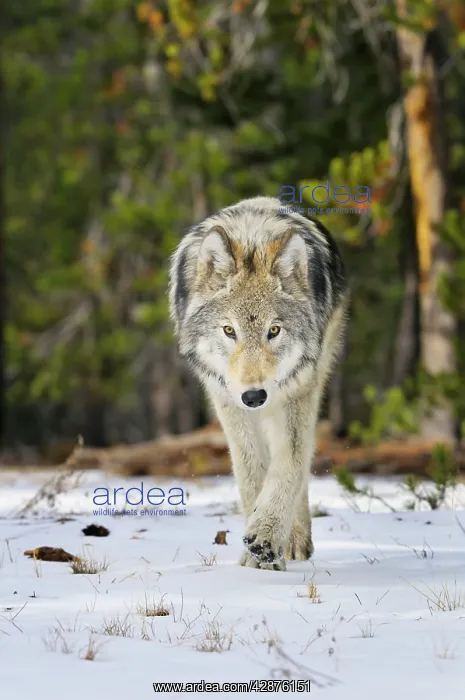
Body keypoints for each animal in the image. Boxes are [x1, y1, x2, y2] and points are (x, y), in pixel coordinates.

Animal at [169, 196, 348, 570]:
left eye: (274, 330)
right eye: (228, 330)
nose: (254, 396)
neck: (251, 238)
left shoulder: (297, 394)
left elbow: (288, 467)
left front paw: (266, 539)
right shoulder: (227, 401)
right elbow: (251, 472)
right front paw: (256, 557)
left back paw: (294, 541)